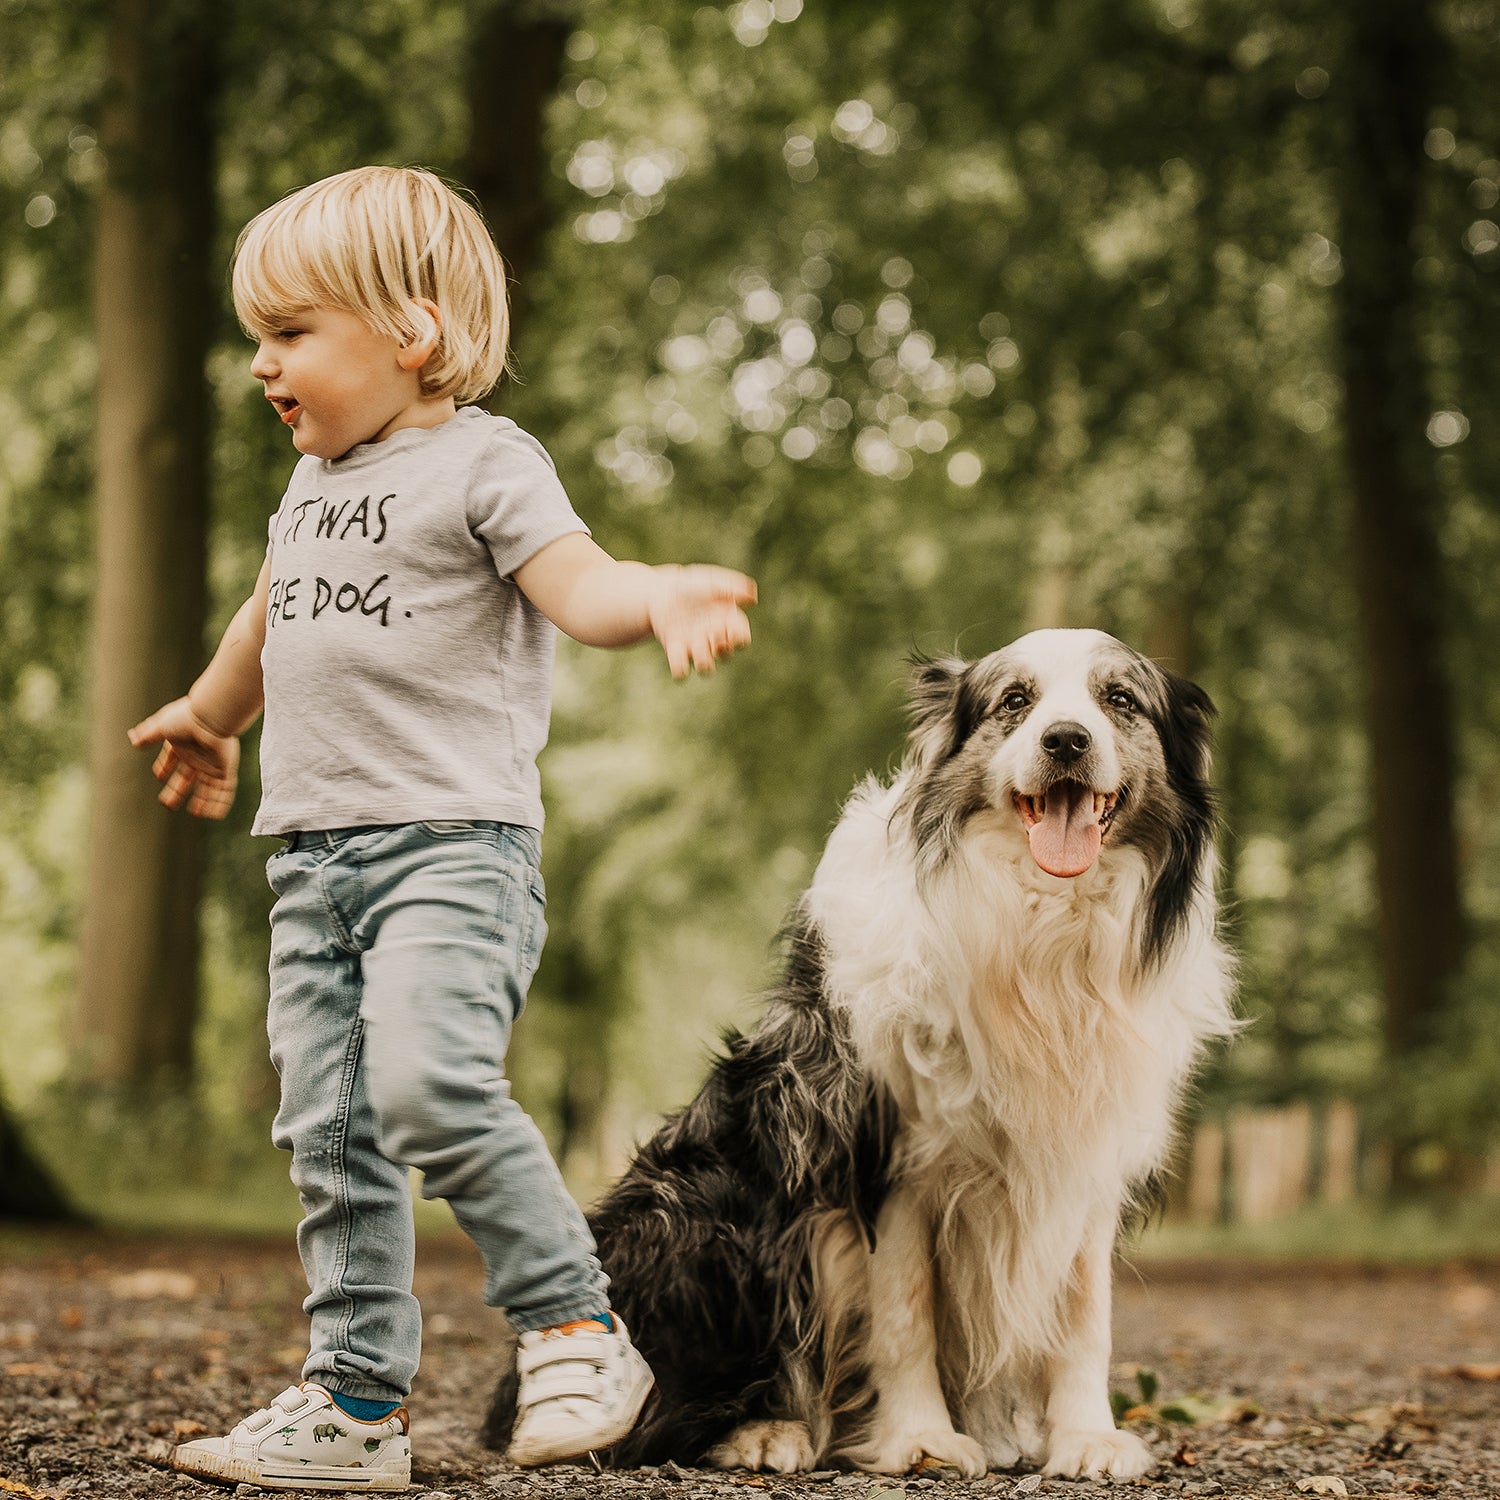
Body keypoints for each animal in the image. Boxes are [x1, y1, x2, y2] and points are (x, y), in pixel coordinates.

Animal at [486, 627, 1236, 1482]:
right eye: (1016, 701)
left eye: (1120, 700)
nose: (1067, 740)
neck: (1037, 925)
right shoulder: (881, 1149)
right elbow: (905, 1313)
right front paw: (921, 1438)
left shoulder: (1086, 1151)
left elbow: (1086, 1312)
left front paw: (1087, 1437)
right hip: (698, 1209)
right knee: (658, 1406)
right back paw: (762, 1432)